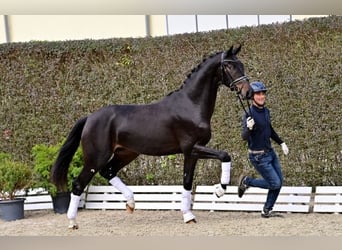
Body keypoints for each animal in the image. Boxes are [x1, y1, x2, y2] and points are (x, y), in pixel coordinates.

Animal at [51, 45, 254, 229]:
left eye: (241, 65)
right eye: (229, 66)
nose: (248, 92)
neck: (191, 105)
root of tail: (90, 117)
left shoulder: (192, 154)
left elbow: (187, 182)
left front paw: (188, 216)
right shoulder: (192, 148)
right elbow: (225, 155)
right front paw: (219, 190)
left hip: (126, 153)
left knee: (108, 172)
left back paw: (131, 203)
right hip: (96, 158)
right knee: (78, 184)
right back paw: (72, 222)